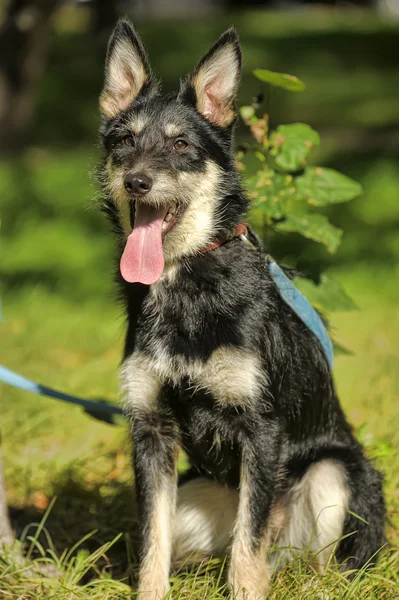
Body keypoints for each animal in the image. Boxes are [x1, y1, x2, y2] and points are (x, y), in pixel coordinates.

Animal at [98, 18, 386, 600]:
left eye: (181, 144)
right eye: (124, 141)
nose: (137, 180)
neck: (188, 286)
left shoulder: (261, 429)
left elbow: (247, 552)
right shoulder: (151, 431)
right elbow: (152, 543)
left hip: (332, 473)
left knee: (300, 558)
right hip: (195, 502)